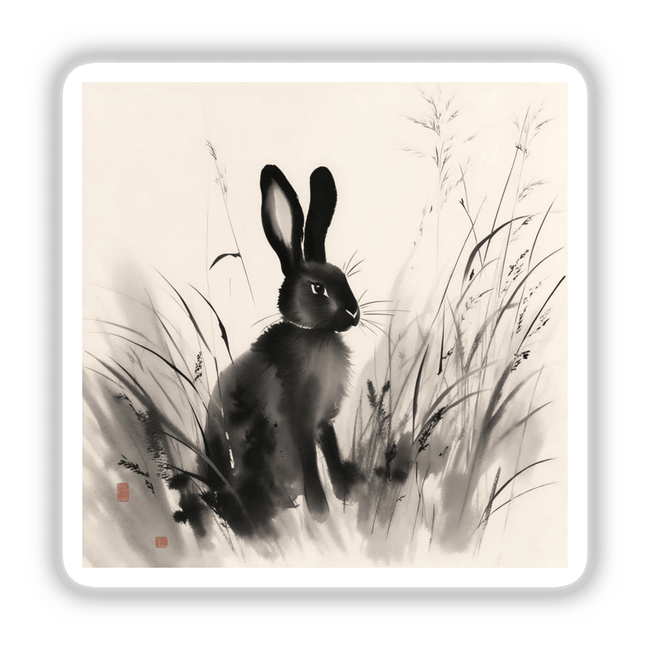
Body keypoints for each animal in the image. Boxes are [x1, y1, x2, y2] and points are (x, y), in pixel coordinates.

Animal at [196, 164, 362, 537]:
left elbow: (331, 452)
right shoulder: (299, 419)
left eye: (345, 278)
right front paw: (320, 512)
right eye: (318, 288)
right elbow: (311, 462)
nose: (353, 313)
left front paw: (346, 491)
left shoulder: (322, 423)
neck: (316, 337)